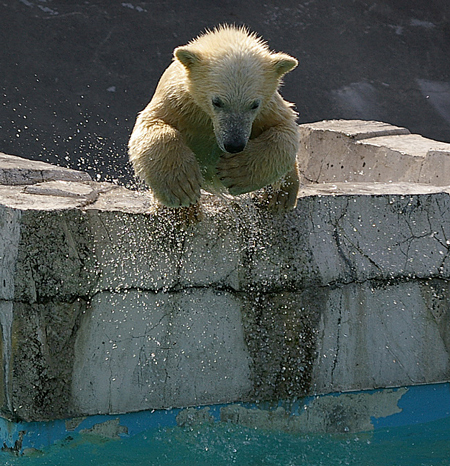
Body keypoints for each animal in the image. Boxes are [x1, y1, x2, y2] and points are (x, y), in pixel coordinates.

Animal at [128, 25, 300, 211]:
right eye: (217, 102)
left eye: (254, 104)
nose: (234, 145)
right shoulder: (177, 101)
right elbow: (152, 124)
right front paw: (181, 186)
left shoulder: (268, 109)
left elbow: (285, 129)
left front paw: (235, 171)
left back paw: (281, 196)